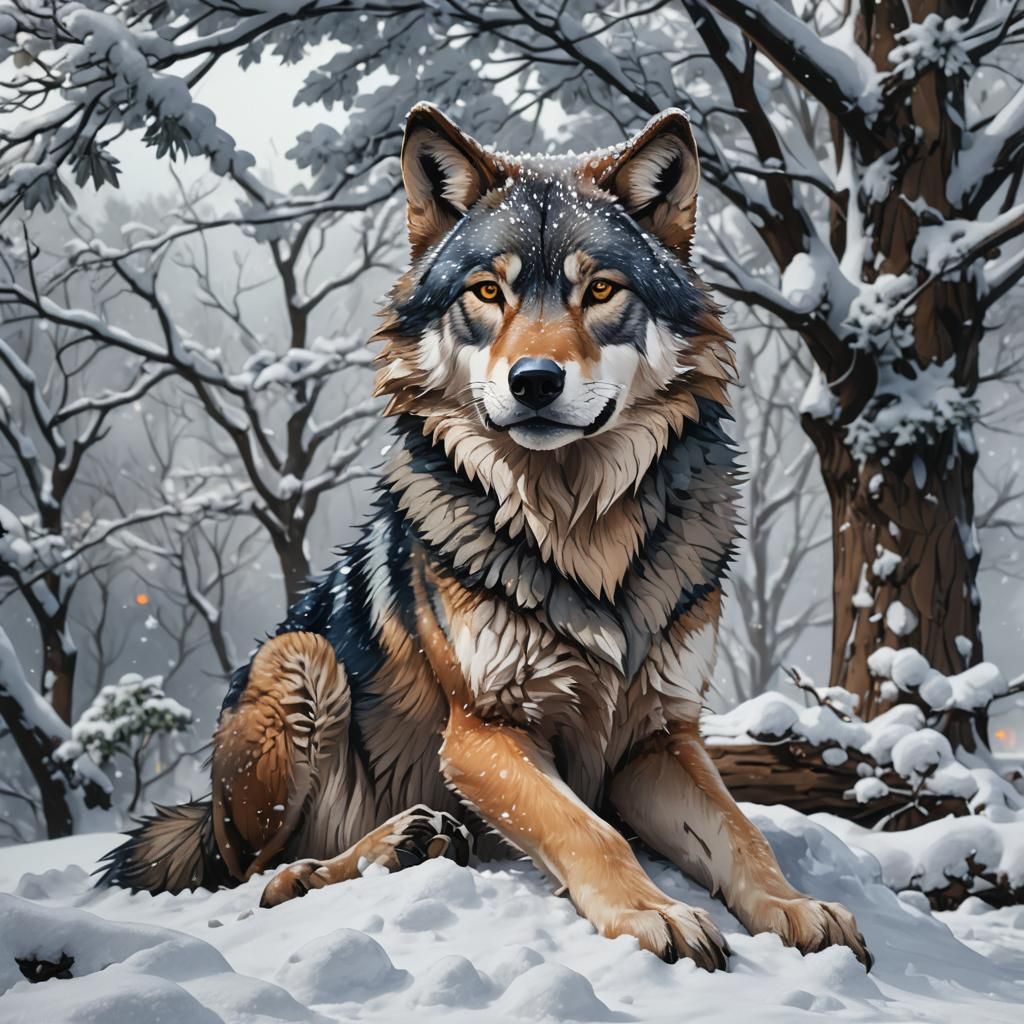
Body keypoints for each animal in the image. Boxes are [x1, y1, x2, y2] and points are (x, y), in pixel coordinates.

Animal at [99, 104, 870, 971]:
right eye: (488, 291)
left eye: (600, 290)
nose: (534, 380)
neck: (581, 532)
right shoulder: (483, 733)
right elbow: (590, 832)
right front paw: (655, 914)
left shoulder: (658, 738)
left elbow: (741, 836)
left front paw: (797, 907)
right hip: (301, 661)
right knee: (254, 875)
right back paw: (378, 847)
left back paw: (419, 839)